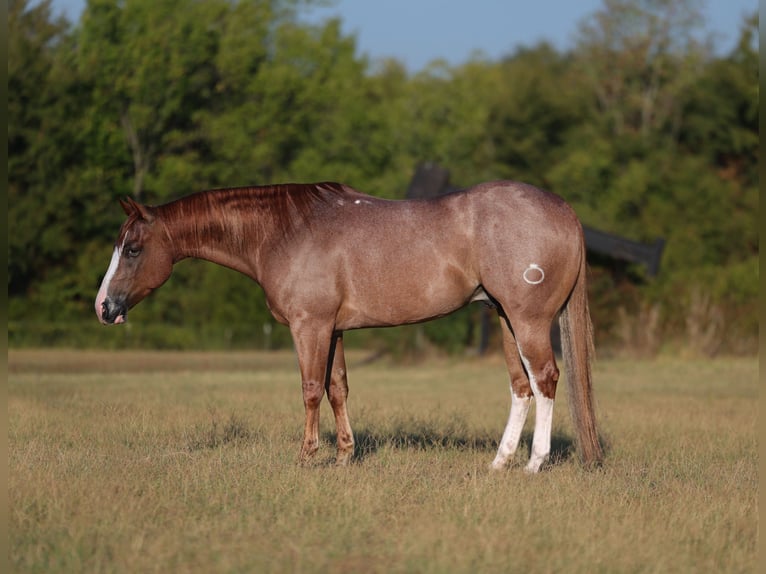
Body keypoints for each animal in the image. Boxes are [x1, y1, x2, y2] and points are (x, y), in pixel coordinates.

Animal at [95, 180, 603, 472]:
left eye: (133, 249)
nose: (103, 307)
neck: (286, 231)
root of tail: (564, 210)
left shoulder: (309, 326)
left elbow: (309, 390)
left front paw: (306, 457)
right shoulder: (333, 329)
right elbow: (337, 388)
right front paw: (343, 455)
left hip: (528, 320)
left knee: (545, 379)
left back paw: (534, 464)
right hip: (503, 318)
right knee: (521, 386)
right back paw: (500, 462)